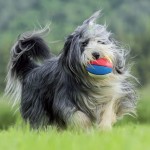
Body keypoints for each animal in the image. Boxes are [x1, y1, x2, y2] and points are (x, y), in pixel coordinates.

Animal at [5, 11, 137, 129]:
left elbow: (109, 108)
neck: (92, 81)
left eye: (100, 41)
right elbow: (77, 116)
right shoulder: (64, 99)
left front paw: (104, 127)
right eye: (84, 43)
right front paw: (87, 129)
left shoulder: (112, 92)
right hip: (37, 106)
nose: (96, 54)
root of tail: (31, 69)